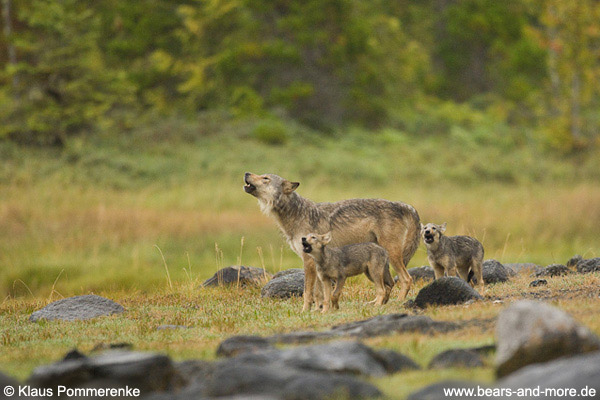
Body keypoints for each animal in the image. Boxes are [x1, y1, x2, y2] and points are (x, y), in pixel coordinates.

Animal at [241, 170, 420, 310]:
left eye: (265, 178)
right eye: (261, 175)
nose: (246, 173)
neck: (296, 215)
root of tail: (401, 204)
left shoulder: (308, 261)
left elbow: (308, 292)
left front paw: (305, 311)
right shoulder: (317, 265)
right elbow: (319, 293)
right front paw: (319, 309)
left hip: (392, 256)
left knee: (406, 279)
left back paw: (397, 302)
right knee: (389, 285)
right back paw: (377, 303)